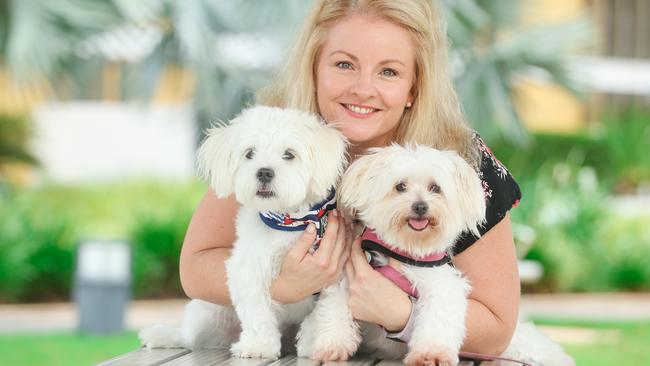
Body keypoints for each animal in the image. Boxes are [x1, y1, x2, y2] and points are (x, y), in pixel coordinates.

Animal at [139, 106, 346, 360]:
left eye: (289, 154)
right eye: (249, 153)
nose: (264, 172)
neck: (289, 220)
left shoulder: (335, 273)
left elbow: (325, 311)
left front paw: (317, 341)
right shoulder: (249, 268)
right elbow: (257, 310)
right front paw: (259, 346)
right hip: (206, 311)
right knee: (189, 338)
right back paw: (161, 335)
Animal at [334, 144, 572, 364]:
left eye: (435, 188)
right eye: (400, 186)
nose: (420, 206)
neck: (406, 248)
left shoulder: (441, 284)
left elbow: (438, 318)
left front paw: (431, 353)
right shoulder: (353, 272)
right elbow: (335, 303)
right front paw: (333, 341)